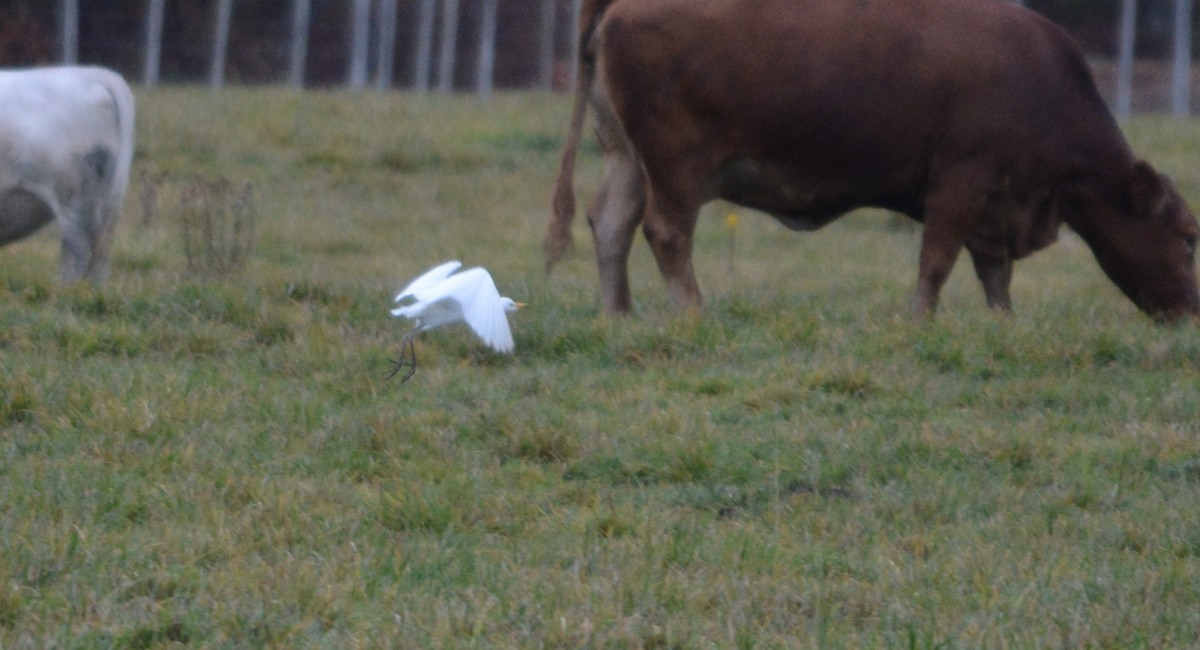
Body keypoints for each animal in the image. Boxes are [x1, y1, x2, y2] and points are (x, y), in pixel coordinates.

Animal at [546, 0, 1200, 321]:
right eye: (1190, 237)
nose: (1190, 310)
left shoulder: (998, 203)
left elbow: (994, 271)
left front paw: (1003, 321)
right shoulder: (961, 181)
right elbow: (937, 260)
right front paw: (920, 320)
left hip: (627, 158)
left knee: (611, 225)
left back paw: (619, 313)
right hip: (675, 167)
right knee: (665, 232)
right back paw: (692, 311)